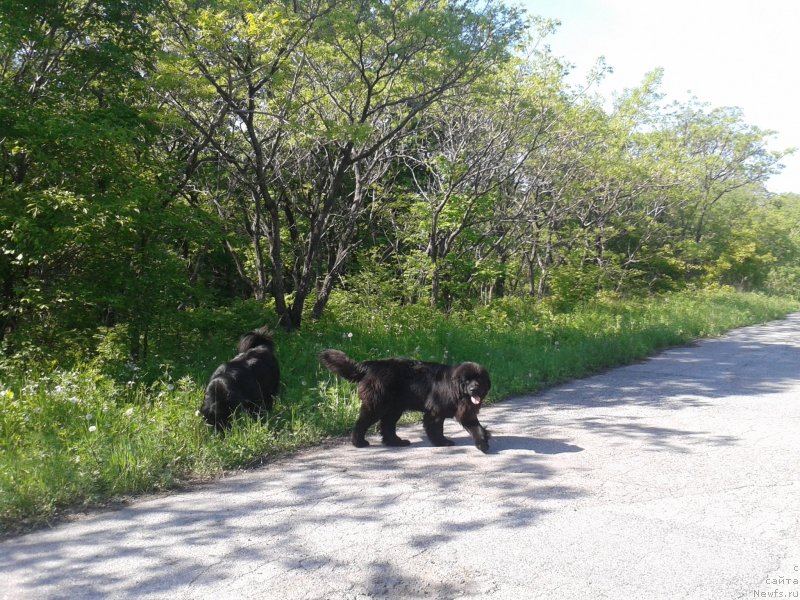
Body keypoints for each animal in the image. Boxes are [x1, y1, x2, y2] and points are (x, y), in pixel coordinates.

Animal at [316, 350, 490, 452]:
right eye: (466, 381)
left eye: (479, 380)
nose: (474, 389)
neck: (456, 391)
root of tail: (369, 366)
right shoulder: (435, 412)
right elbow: (436, 429)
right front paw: (442, 442)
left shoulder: (467, 414)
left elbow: (477, 428)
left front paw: (483, 444)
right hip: (377, 405)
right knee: (362, 422)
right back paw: (359, 442)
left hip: (394, 408)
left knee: (387, 426)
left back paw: (396, 442)